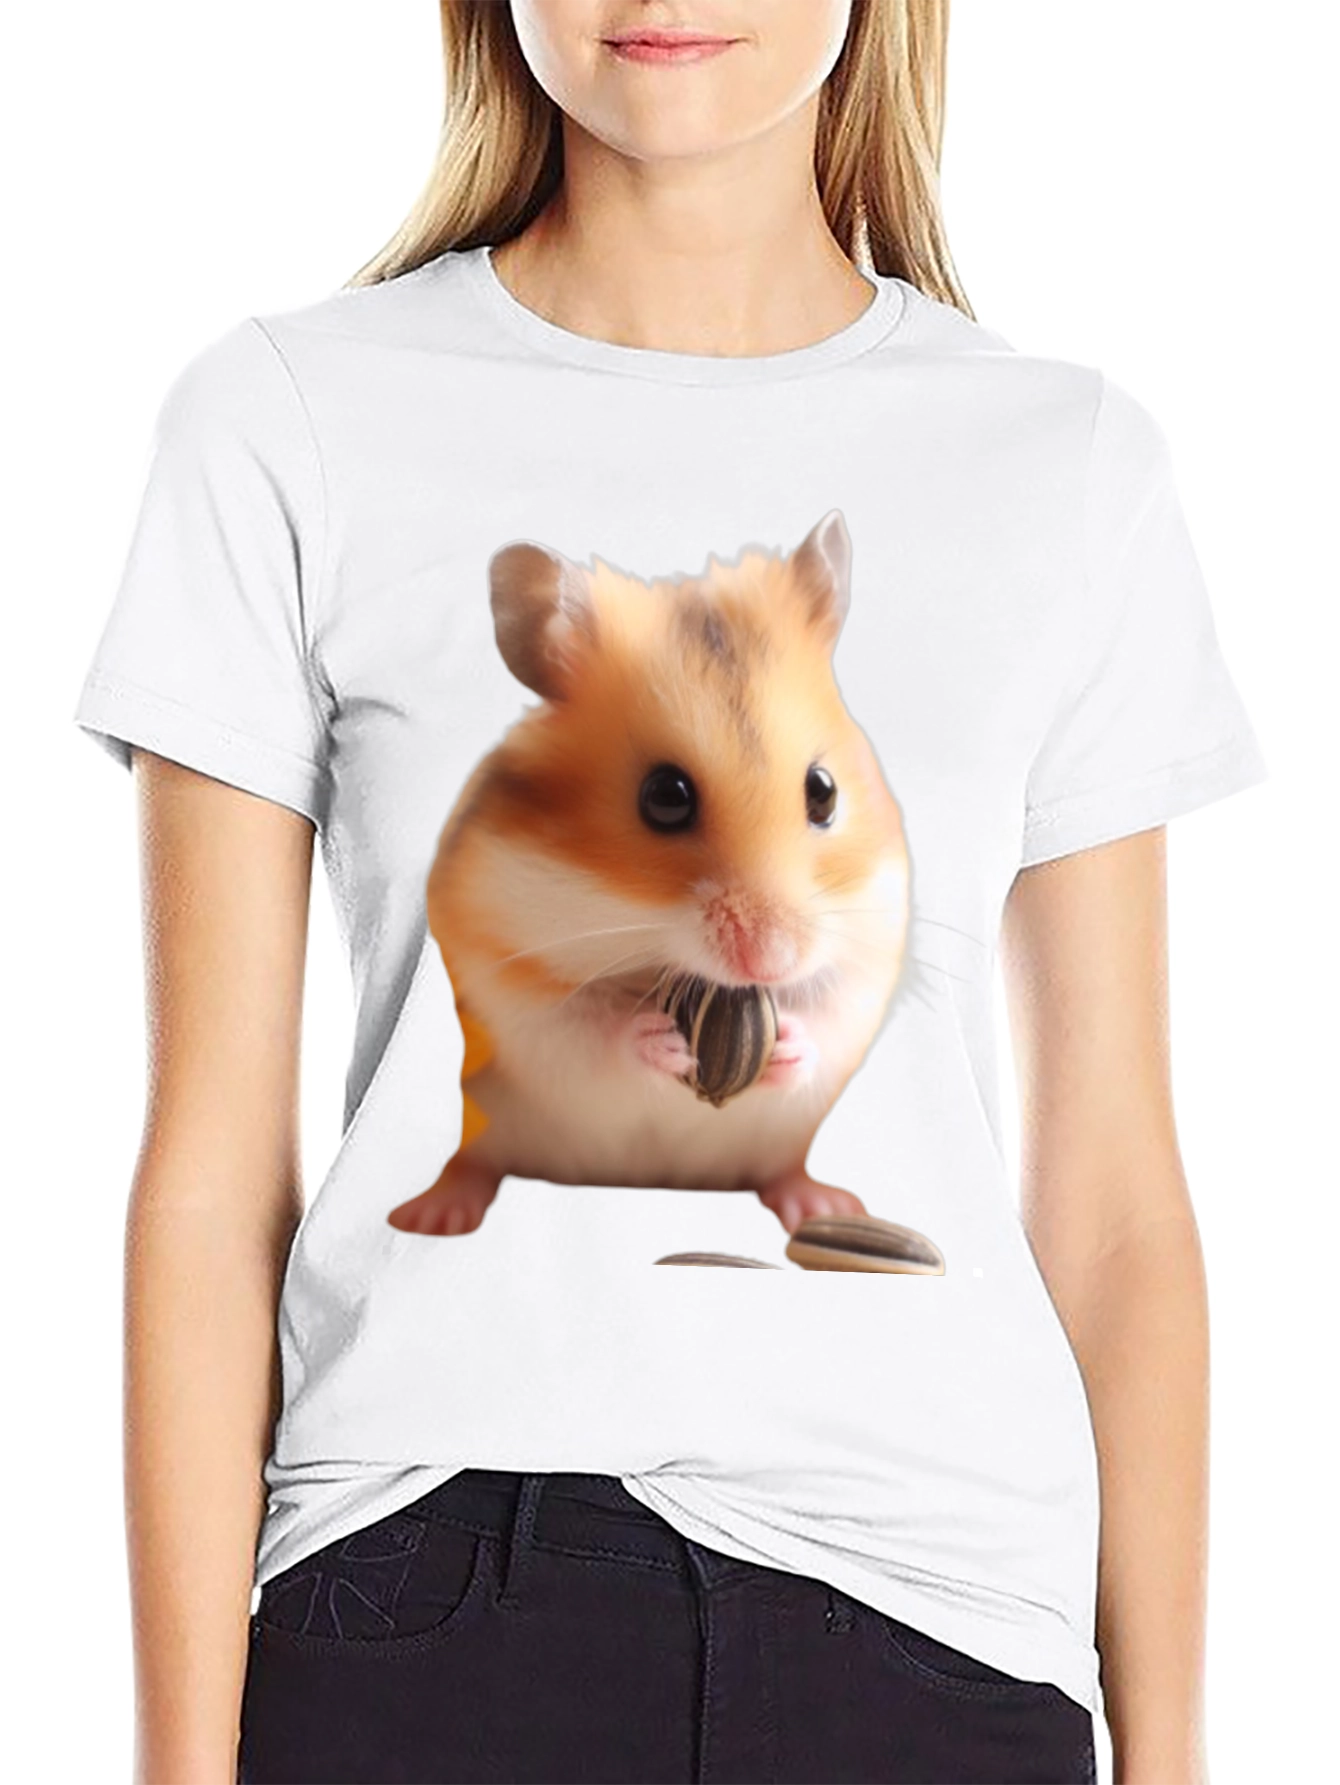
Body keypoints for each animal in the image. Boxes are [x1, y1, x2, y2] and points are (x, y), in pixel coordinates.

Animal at [386, 509, 912, 1240]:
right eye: (665, 797)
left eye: (824, 792)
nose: (770, 961)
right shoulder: (505, 981)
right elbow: (587, 1030)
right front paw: (661, 1043)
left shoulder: (869, 952)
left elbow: (828, 1016)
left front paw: (787, 1046)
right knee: (473, 1162)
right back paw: (430, 1216)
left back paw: (827, 1207)